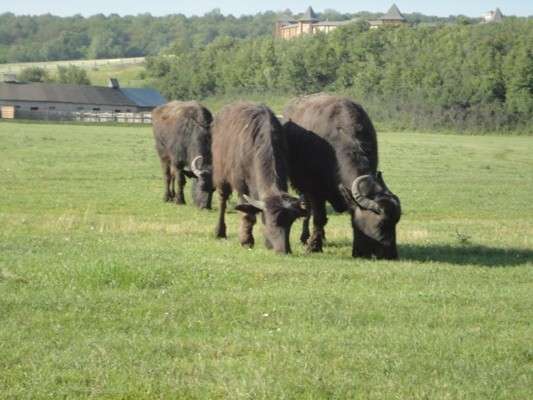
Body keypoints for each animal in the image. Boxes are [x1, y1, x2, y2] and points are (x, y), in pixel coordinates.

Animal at [211, 101, 304, 255]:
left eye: (291, 223)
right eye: (272, 222)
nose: (284, 250)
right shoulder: (241, 184)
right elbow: (247, 213)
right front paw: (246, 240)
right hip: (221, 173)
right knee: (222, 200)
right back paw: (219, 232)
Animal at [282, 93, 400, 260]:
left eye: (396, 222)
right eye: (380, 224)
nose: (391, 255)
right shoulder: (315, 189)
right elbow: (319, 218)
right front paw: (314, 246)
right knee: (307, 209)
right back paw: (305, 237)